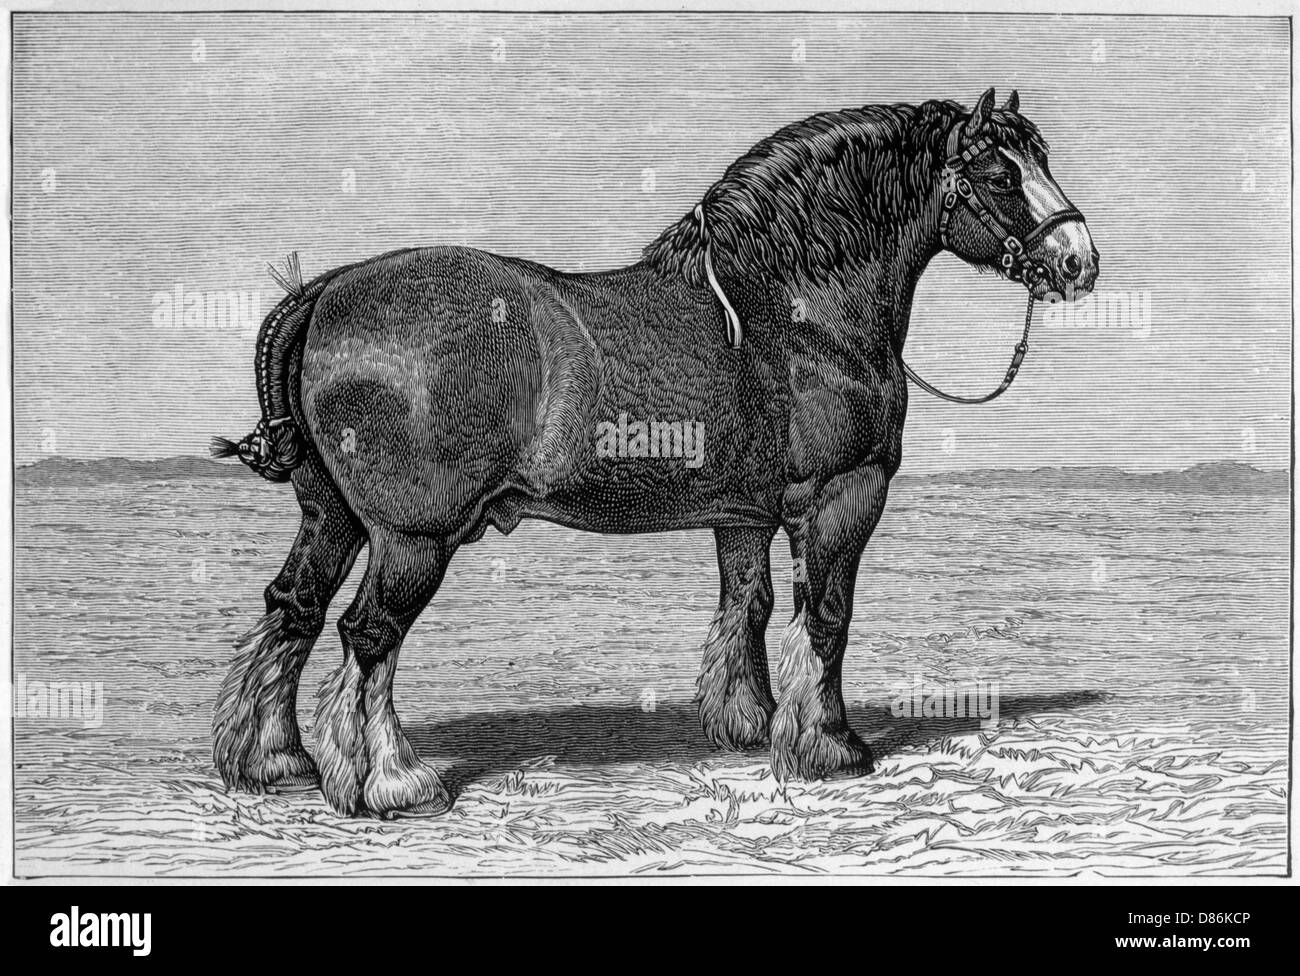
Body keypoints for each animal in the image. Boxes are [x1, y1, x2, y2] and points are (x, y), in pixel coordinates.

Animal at [211, 88, 1098, 818]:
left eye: (1042, 159)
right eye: (998, 174)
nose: (1078, 262)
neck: (795, 308)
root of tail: (324, 293)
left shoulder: (743, 515)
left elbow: (750, 608)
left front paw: (749, 724)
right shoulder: (842, 496)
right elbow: (828, 617)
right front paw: (830, 746)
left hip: (332, 515)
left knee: (292, 609)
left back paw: (272, 761)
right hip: (412, 537)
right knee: (369, 636)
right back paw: (391, 782)